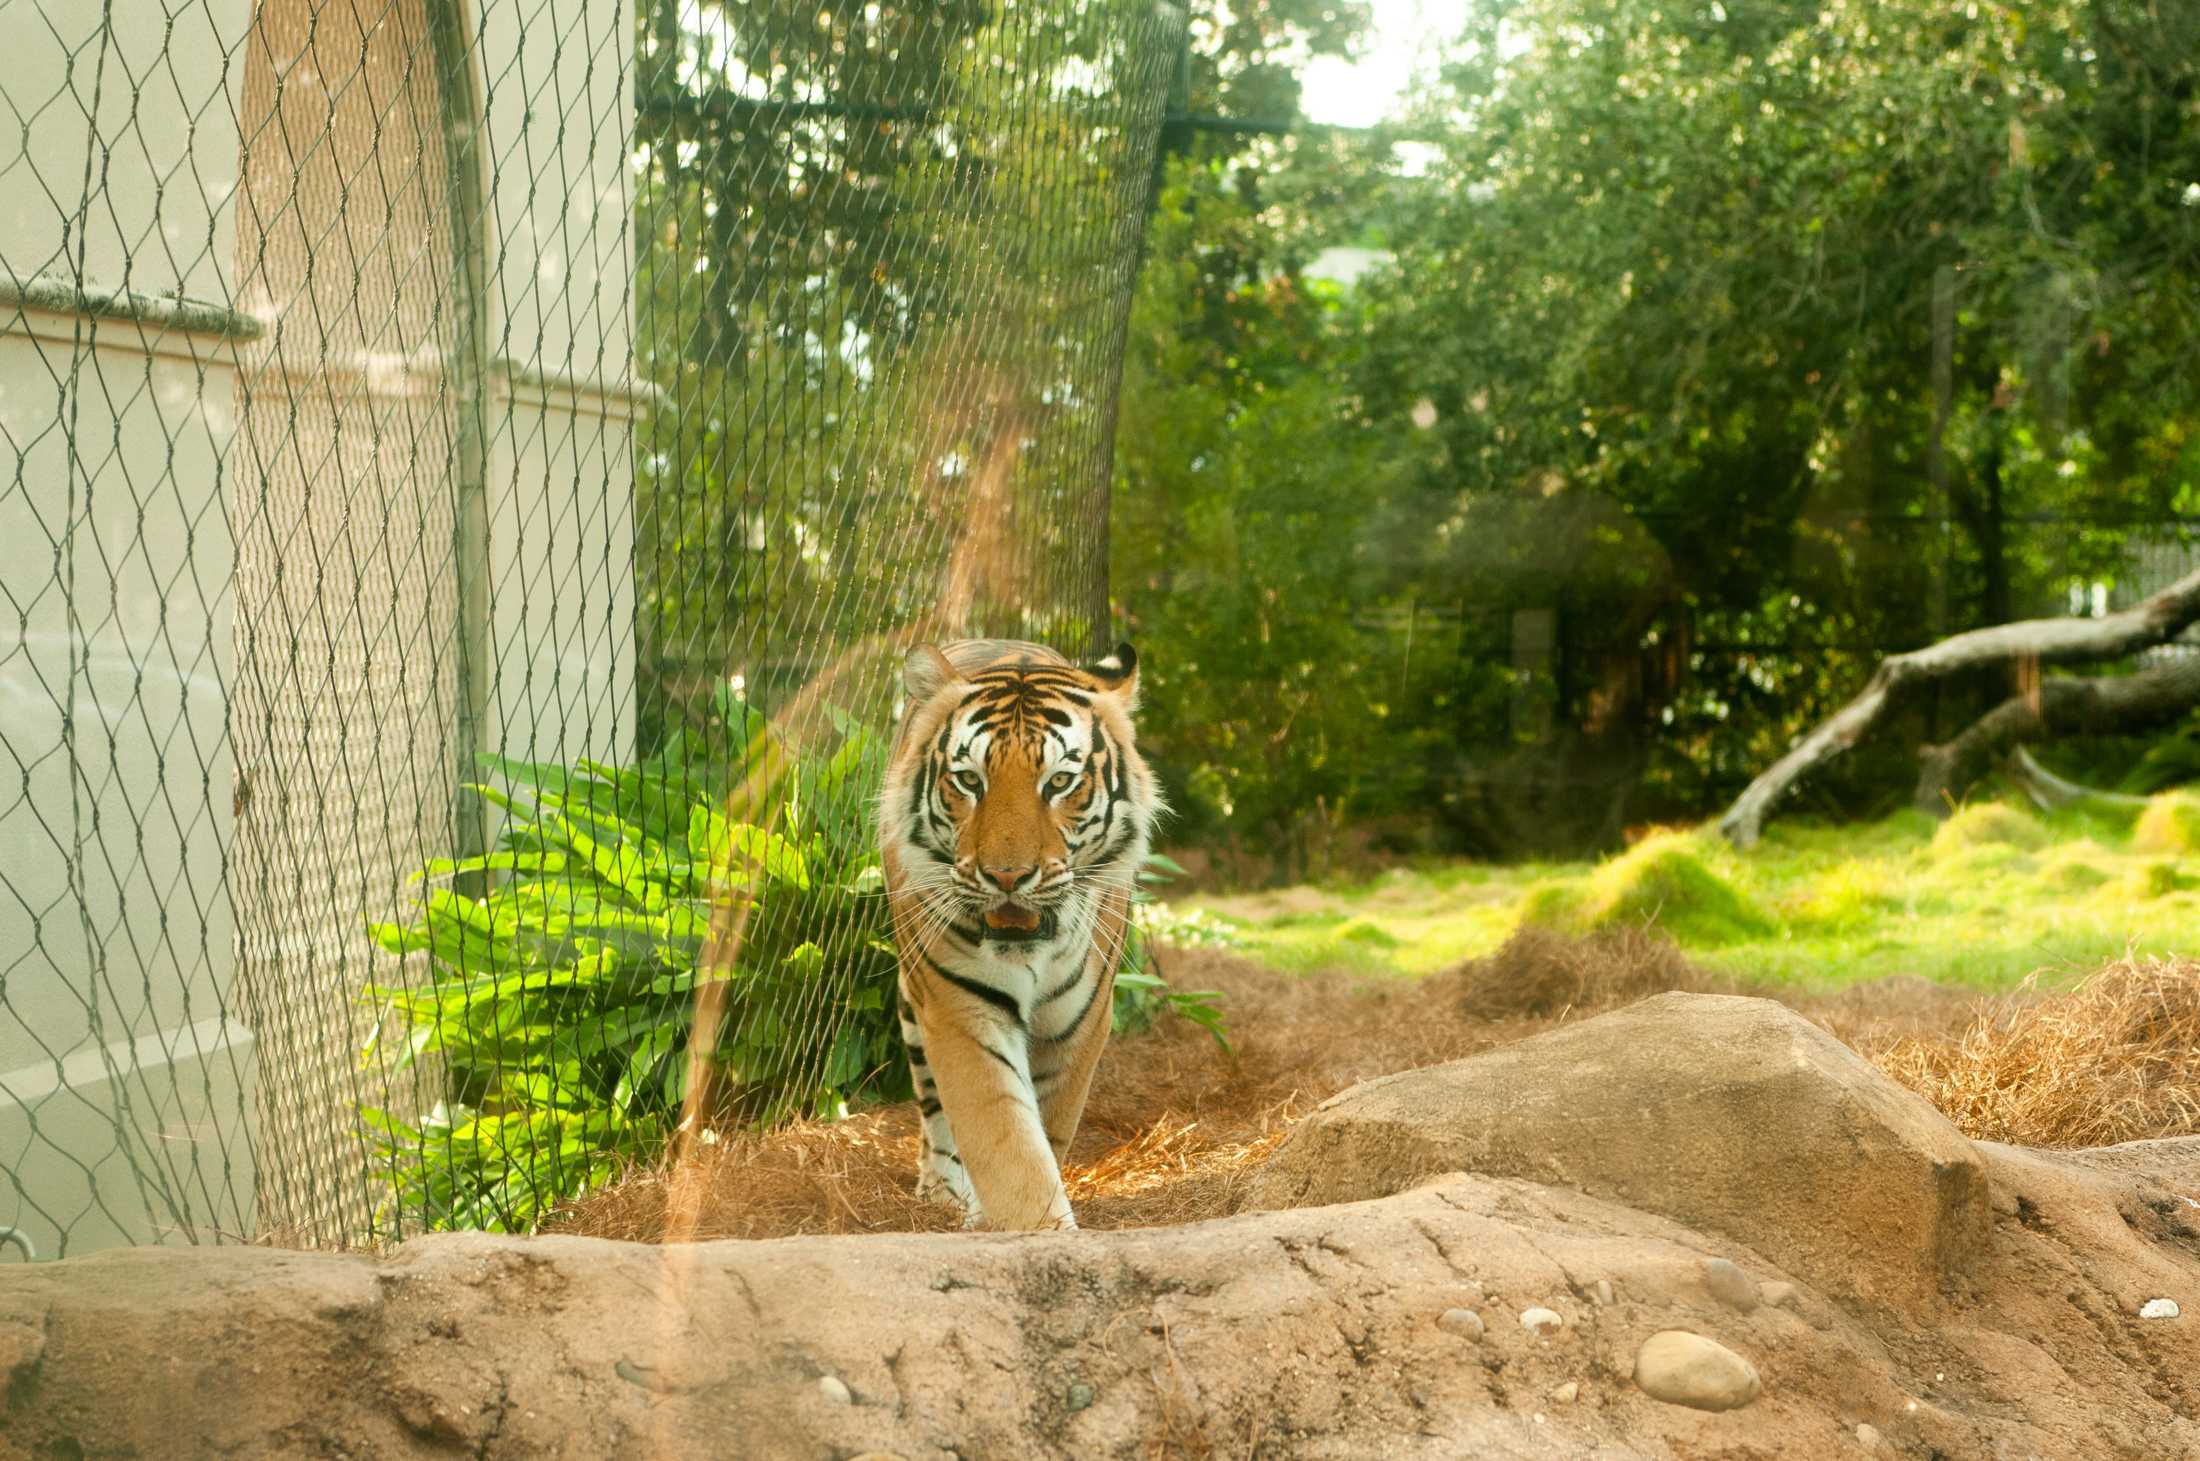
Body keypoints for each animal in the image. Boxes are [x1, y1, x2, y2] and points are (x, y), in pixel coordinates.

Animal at [875, 633, 1161, 1223]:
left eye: (1060, 782)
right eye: (969, 780)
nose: (1006, 876)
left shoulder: (1080, 1025)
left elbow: (1044, 1135)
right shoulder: (960, 1008)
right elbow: (1007, 1143)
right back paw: (943, 1187)